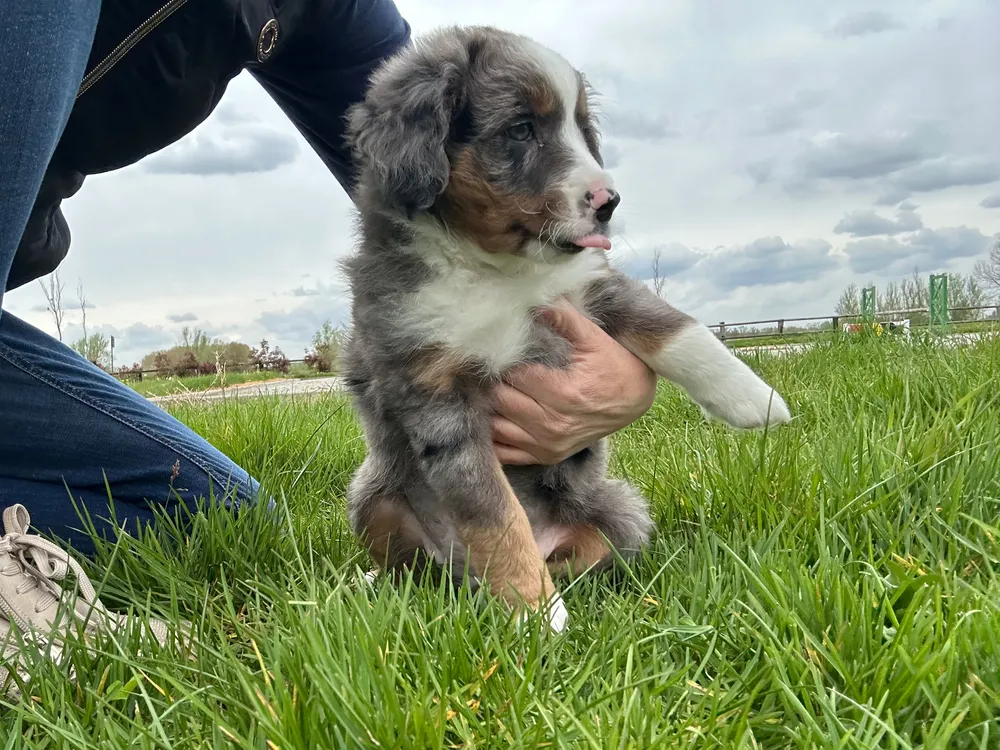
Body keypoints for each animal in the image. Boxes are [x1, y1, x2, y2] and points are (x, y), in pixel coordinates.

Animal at [339, 25, 792, 632]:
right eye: (521, 129)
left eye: (581, 129)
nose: (610, 202)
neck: (496, 270)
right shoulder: (437, 396)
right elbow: (496, 519)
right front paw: (537, 617)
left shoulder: (588, 290)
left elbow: (672, 325)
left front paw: (754, 400)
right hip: (372, 496)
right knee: (415, 570)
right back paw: (383, 584)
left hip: (620, 514)